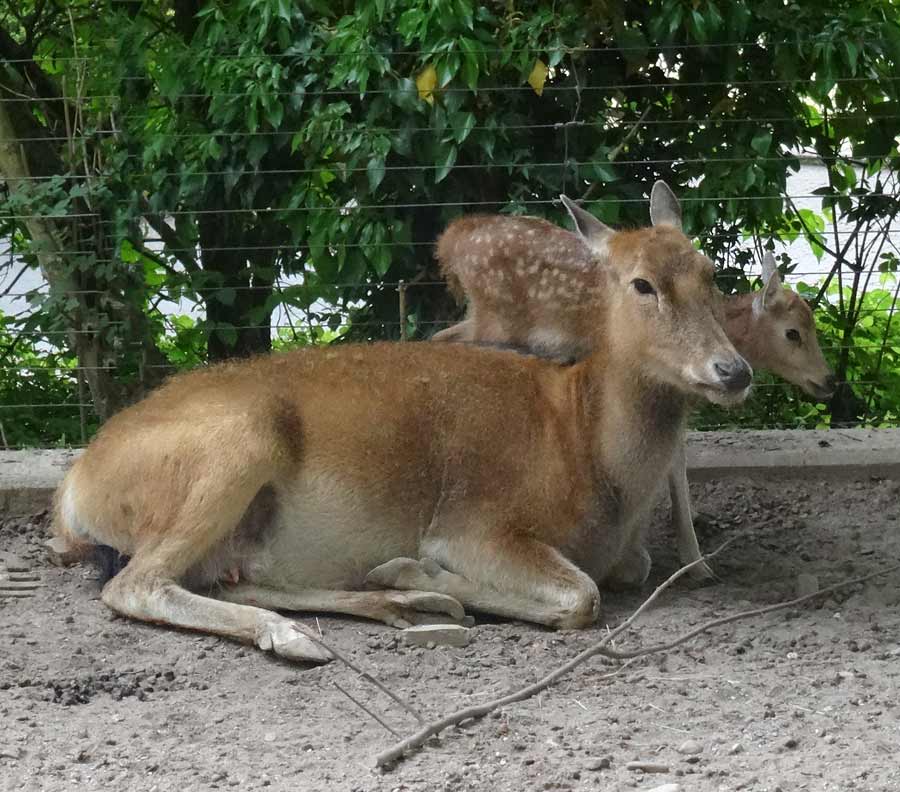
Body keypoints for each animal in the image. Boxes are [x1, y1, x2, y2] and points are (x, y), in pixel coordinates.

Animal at [52, 184, 748, 664]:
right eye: (641, 284)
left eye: (708, 271)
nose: (733, 370)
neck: (588, 454)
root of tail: (72, 495)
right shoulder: (473, 521)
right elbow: (582, 594)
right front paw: (420, 571)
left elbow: (632, 570)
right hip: (235, 447)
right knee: (137, 584)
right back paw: (314, 628)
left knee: (225, 578)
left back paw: (401, 604)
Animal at [432, 186, 832, 580]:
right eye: (793, 333)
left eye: (710, 272)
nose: (828, 380)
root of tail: (450, 240)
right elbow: (673, 460)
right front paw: (695, 561)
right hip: (496, 322)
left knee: (440, 335)